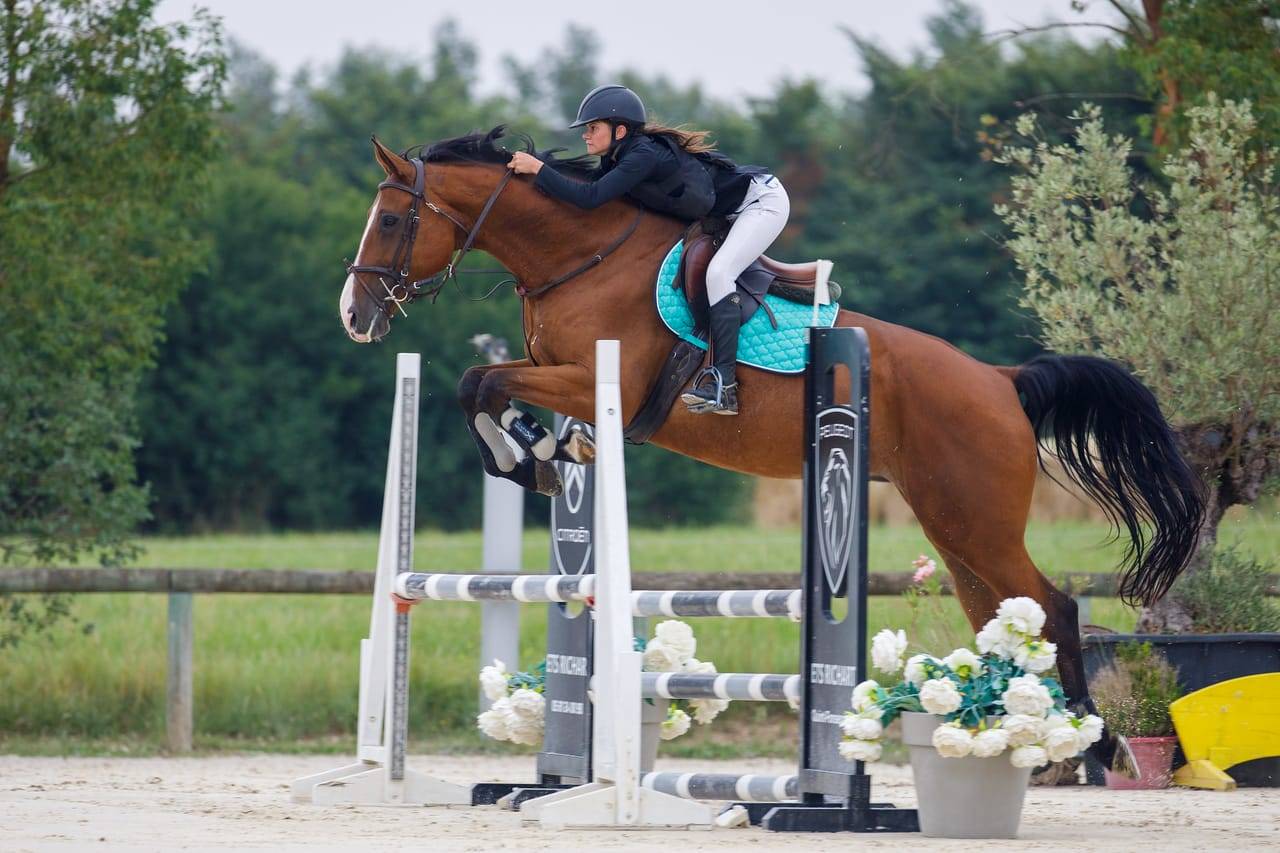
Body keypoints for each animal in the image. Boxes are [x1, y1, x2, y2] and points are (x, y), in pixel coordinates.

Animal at [339, 127, 1205, 775]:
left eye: (392, 221)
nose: (355, 315)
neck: (578, 257)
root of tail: (1000, 379)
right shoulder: (559, 376)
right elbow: (486, 387)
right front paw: (543, 450)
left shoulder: (591, 376)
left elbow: (476, 380)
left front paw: (531, 457)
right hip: (952, 526)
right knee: (1005, 615)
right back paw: (1018, 735)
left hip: (977, 519)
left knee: (1053, 607)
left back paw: (1084, 746)